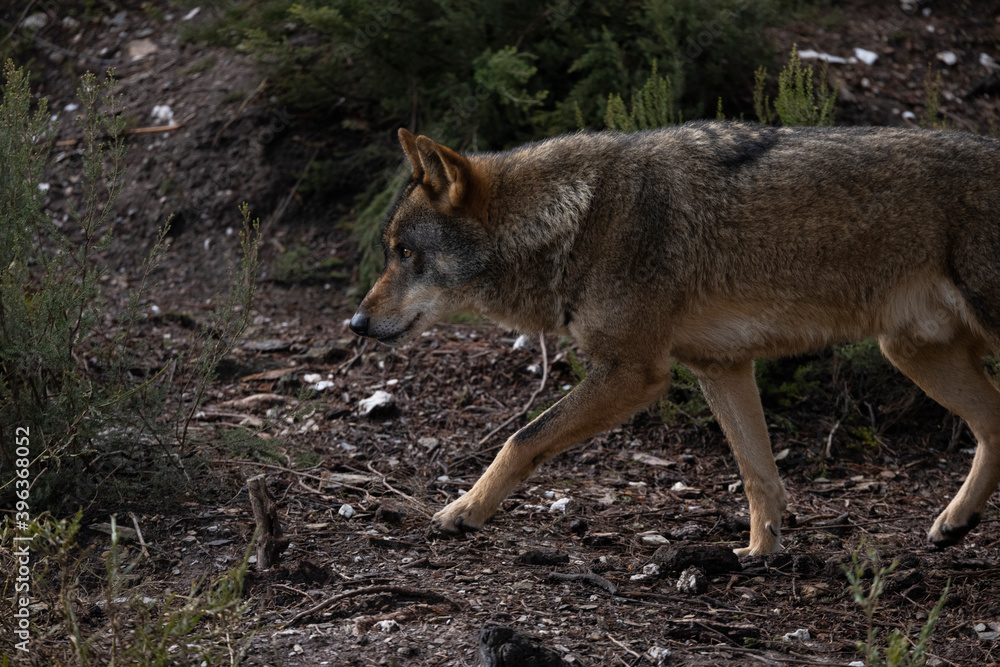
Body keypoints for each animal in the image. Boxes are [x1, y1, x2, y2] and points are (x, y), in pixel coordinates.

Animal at [349, 121, 1000, 556]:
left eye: (405, 254)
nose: (356, 323)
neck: (574, 219)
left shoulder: (634, 373)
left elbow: (521, 438)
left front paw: (463, 511)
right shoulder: (721, 367)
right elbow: (758, 475)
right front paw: (760, 554)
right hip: (912, 352)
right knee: (993, 425)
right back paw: (955, 522)